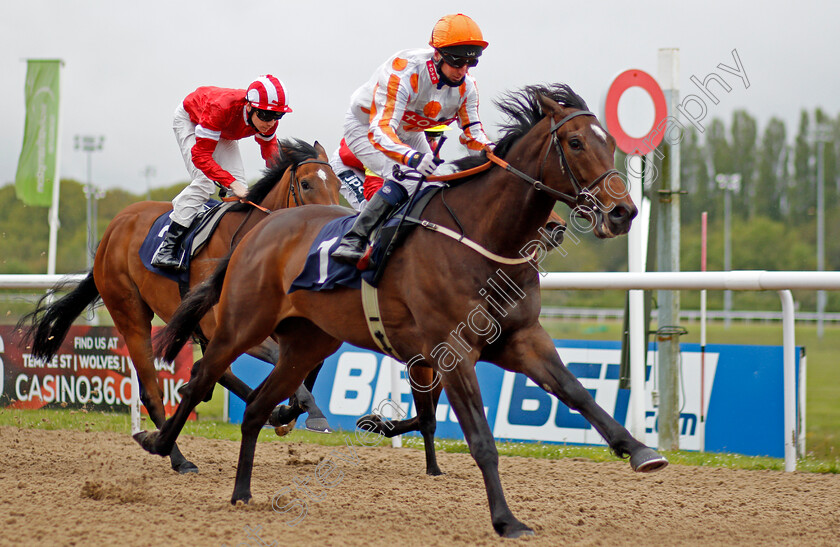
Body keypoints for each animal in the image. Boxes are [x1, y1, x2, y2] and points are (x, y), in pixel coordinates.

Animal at [17, 139, 338, 474]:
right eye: (306, 184)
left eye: (339, 183)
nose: (332, 224)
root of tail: (113, 229)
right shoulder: (229, 326)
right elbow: (280, 358)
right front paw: (303, 412)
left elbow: (310, 363)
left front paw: (288, 411)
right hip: (130, 314)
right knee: (152, 390)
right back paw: (178, 458)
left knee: (209, 370)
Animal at [144, 85, 668, 540]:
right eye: (575, 142)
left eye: (610, 143)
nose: (622, 212)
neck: (483, 235)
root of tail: (259, 228)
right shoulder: (452, 349)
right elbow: (480, 438)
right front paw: (506, 520)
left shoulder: (522, 338)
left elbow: (578, 393)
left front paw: (641, 449)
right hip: (242, 324)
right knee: (201, 378)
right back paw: (162, 445)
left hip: (309, 342)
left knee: (255, 407)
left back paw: (242, 491)